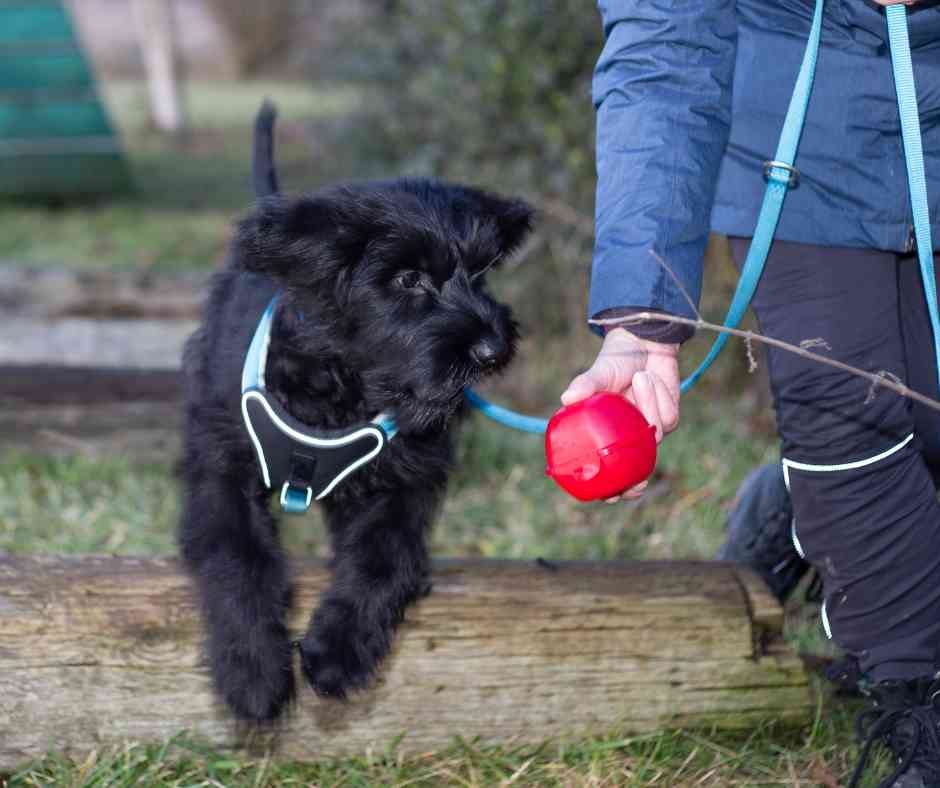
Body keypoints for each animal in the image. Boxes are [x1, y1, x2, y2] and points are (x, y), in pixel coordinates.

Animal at [176, 103, 528, 720]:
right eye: (409, 278)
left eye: (482, 273)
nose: (492, 348)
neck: (345, 388)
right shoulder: (221, 467)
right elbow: (238, 555)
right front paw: (253, 671)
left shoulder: (404, 482)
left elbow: (383, 558)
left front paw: (338, 652)